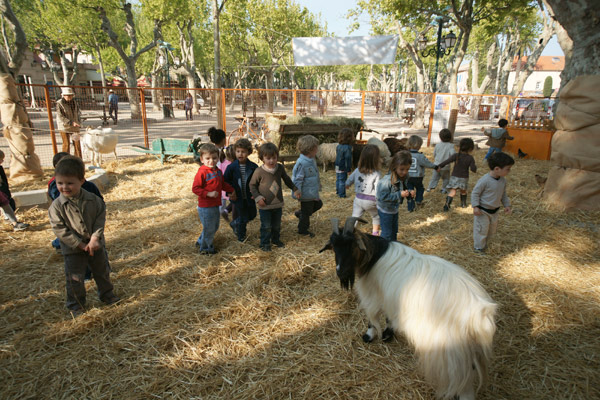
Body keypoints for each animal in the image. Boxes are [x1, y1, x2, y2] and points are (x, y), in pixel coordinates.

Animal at [318, 219, 496, 400]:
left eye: (352, 245)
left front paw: (370, 335)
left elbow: (372, 318)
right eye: (334, 247)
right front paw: (388, 333)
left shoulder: (374, 296)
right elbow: (389, 316)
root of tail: (480, 313)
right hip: (467, 351)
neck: (374, 257)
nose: (341, 272)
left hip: (452, 352)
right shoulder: (390, 298)